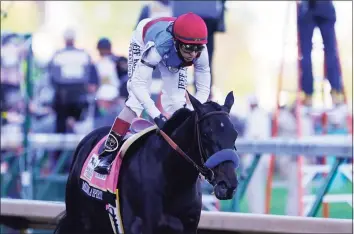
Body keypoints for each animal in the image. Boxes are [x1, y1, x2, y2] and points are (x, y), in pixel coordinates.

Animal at [54, 91, 239, 234]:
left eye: (234, 134)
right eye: (206, 134)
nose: (228, 184)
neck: (173, 180)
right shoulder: (139, 227)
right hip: (80, 221)